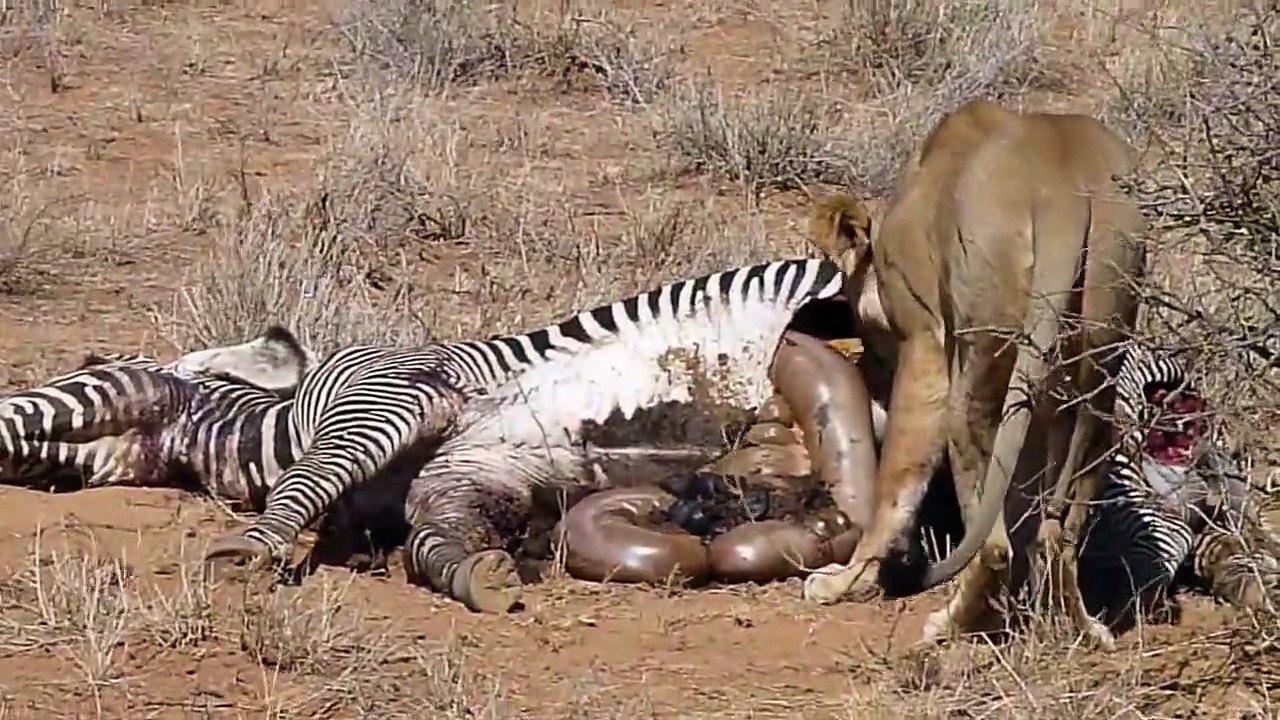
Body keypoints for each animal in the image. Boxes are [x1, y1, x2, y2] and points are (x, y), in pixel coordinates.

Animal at [801, 100, 1148, 649]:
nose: (869, 372)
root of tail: (1063, 192)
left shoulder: (923, 339)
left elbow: (897, 482)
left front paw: (843, 581)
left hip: (975, 364)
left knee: (992, 542)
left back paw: (952, 622)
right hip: (1100, 351)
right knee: (1059, 529)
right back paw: (1081, 627)